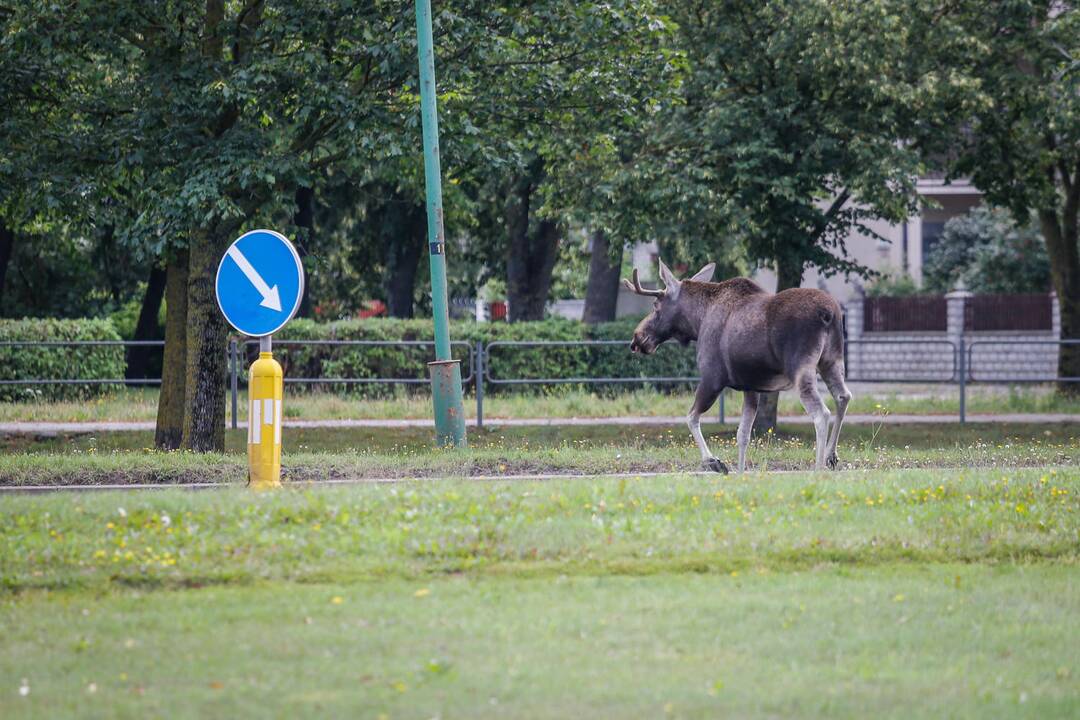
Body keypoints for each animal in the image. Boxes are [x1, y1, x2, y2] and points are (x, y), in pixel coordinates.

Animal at [626, 262, 851, 474]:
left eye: (655, 305)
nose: (636, 339)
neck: (697, 322)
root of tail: (829, 314)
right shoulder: (751, 387)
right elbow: (742, 434)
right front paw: (741, 473)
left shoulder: (712, 378)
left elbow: (691, 417)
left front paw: (714, 462)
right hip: (831, 361)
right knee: (843, 396)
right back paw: (831, 455)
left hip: (801, 369)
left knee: (821, 413)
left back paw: (818, 469)